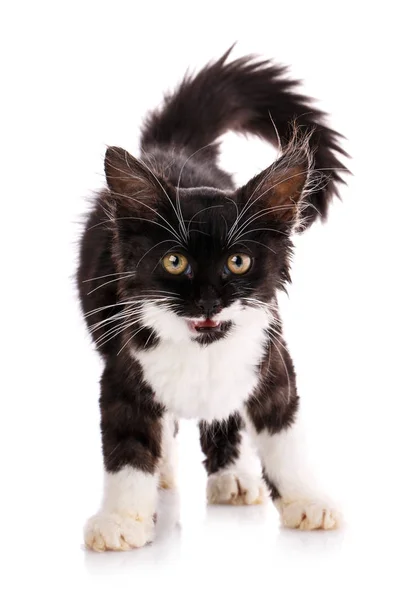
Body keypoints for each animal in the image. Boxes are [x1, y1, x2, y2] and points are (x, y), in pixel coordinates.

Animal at [78, 49, 346, 552]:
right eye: (175, 262)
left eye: (238, 262)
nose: (207, 301)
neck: (200, 352)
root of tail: (177, 150)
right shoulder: (122, 371)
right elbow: (128, 450)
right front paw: (122, 519)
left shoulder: (271, 360)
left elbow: (285, 437)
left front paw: (306, 500)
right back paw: (166, 475)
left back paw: (233, 477)